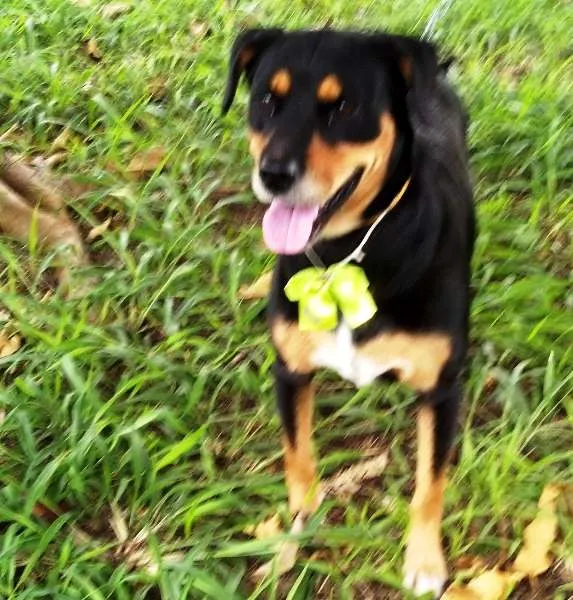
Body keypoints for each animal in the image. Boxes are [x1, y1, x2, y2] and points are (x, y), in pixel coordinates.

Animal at [221, 29, 476, 600]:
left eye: (343, 108)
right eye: (266, 99)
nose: (273, 174)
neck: (347, 258)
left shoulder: (442, 389)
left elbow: (430, 485)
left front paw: (424, 560)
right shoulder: (290, 371)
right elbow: (297, 459)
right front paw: (297, 530)